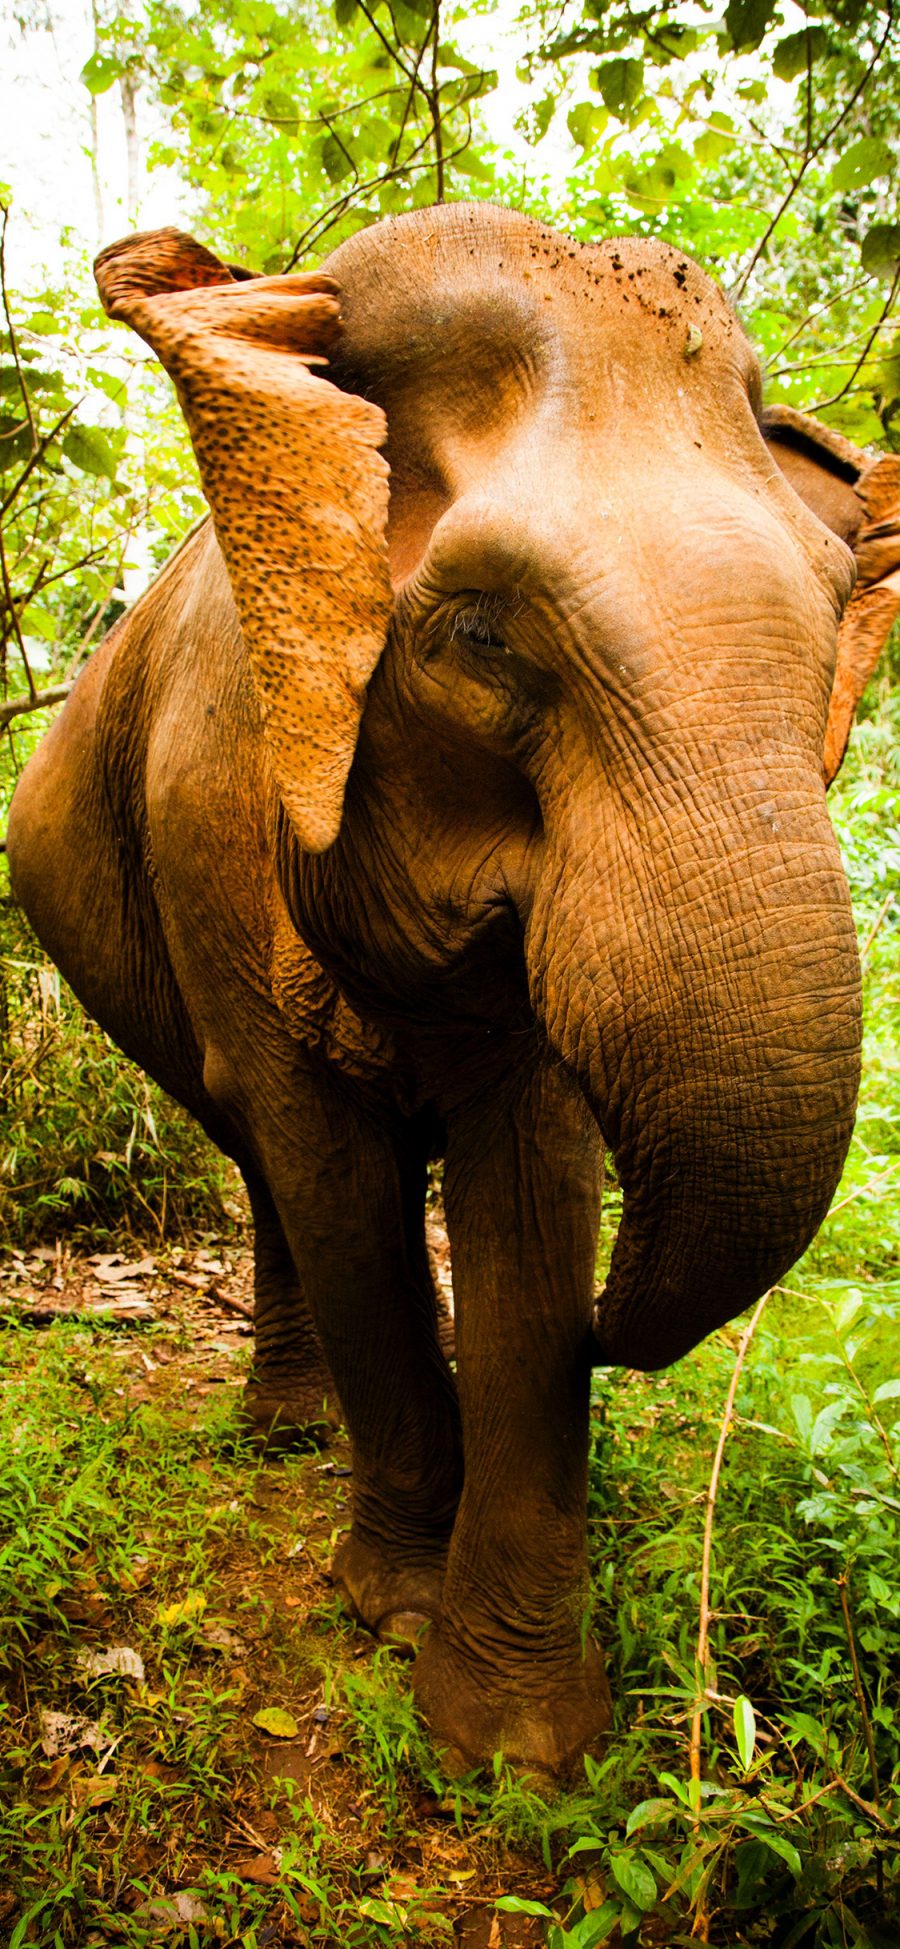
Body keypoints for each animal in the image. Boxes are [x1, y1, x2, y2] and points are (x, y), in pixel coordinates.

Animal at [7, 205, 900, 1777]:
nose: (623, 1325)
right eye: (479, 633)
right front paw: (394, 1610)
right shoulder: (209, 805)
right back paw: (288, 1431)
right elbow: (338, 1180)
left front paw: (514, 1747)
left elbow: (531, 1196)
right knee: (262, 1152)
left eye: (839, 608)